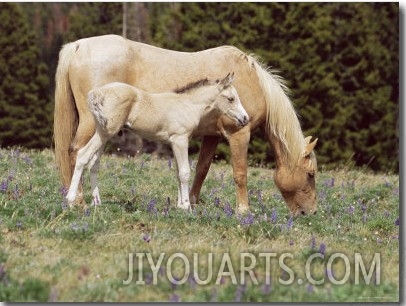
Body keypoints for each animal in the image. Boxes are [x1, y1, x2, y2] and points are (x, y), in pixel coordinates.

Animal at [65, 73, 249, 210]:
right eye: (231, 99)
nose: (245, 119)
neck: (187, 105)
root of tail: (96, 93)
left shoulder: (174, 142)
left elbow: (177, 172)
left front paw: (180, 205)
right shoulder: (181, 140)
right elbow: (184, 172)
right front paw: (187, 207)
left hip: (103, 133)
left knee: (94, 164)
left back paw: (97, 202)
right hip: (105, 133)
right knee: (83, 155)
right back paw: (71, 200)